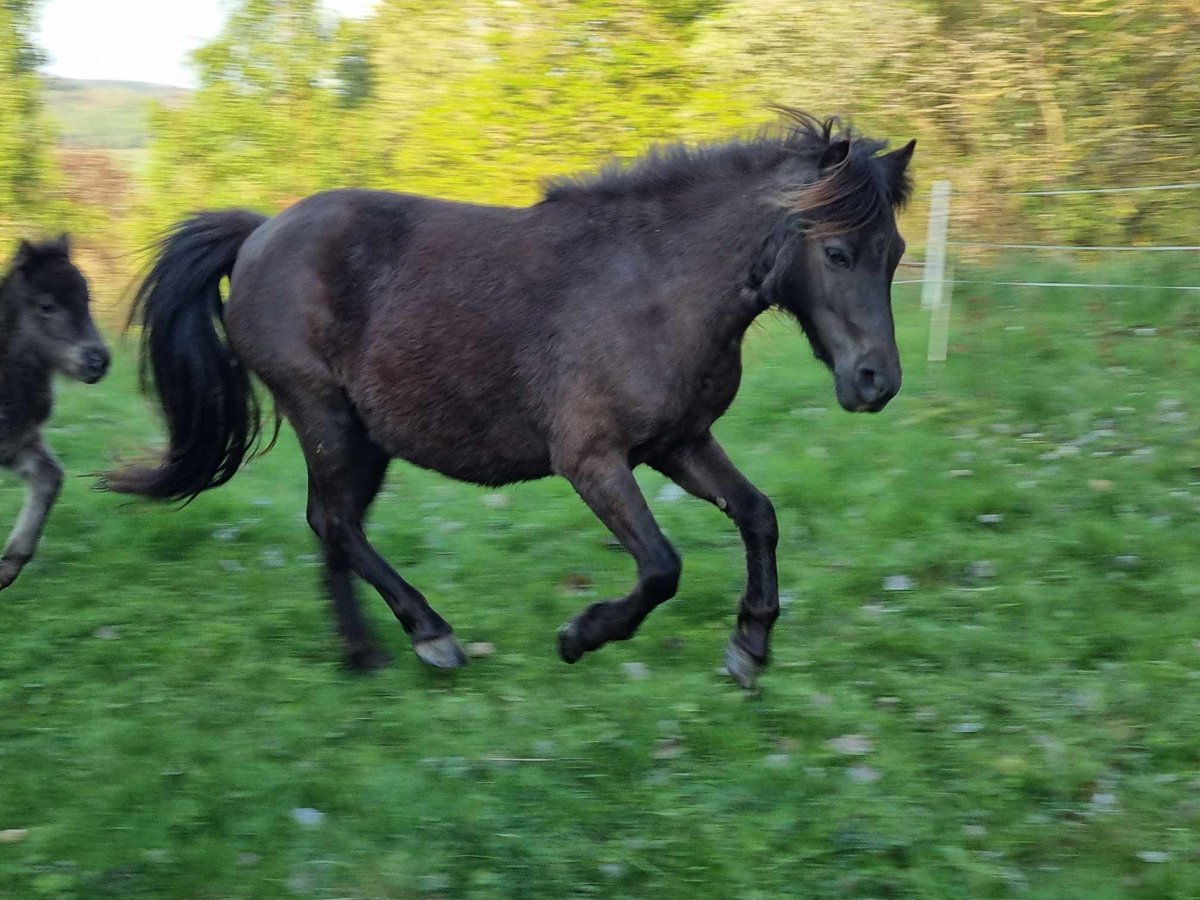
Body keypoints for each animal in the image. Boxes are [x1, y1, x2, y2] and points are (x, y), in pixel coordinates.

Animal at [108, 114, 912, 691]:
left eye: (896, 252)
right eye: (837, 252)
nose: (878, 381)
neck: (653, 285)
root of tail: (259, 234)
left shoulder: (679, 443)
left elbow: (758, 516)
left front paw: (749, 646)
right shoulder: (592, 460)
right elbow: (661, 567)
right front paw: (580, 635)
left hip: (365, 437)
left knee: (332, 525)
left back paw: (364, 657)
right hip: (324, 414)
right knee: (333, 522)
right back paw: (430, 637)